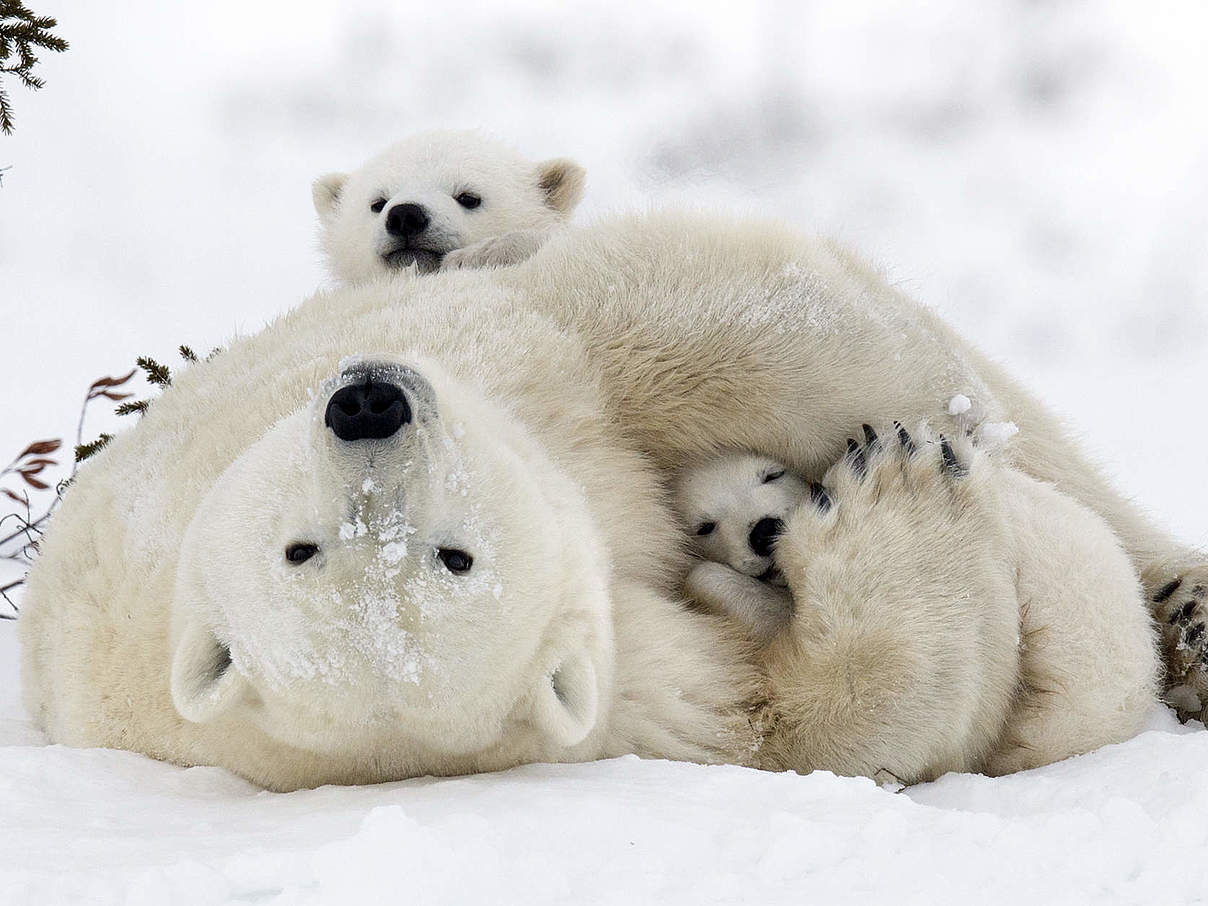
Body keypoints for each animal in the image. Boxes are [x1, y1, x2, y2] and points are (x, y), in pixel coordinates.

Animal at [16, 208, 1198, 792]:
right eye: (459, 556)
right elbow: (793, 721)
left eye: (294, 545)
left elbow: (716, 334)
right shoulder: (616, 698)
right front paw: (895, 490)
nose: (368, 405)